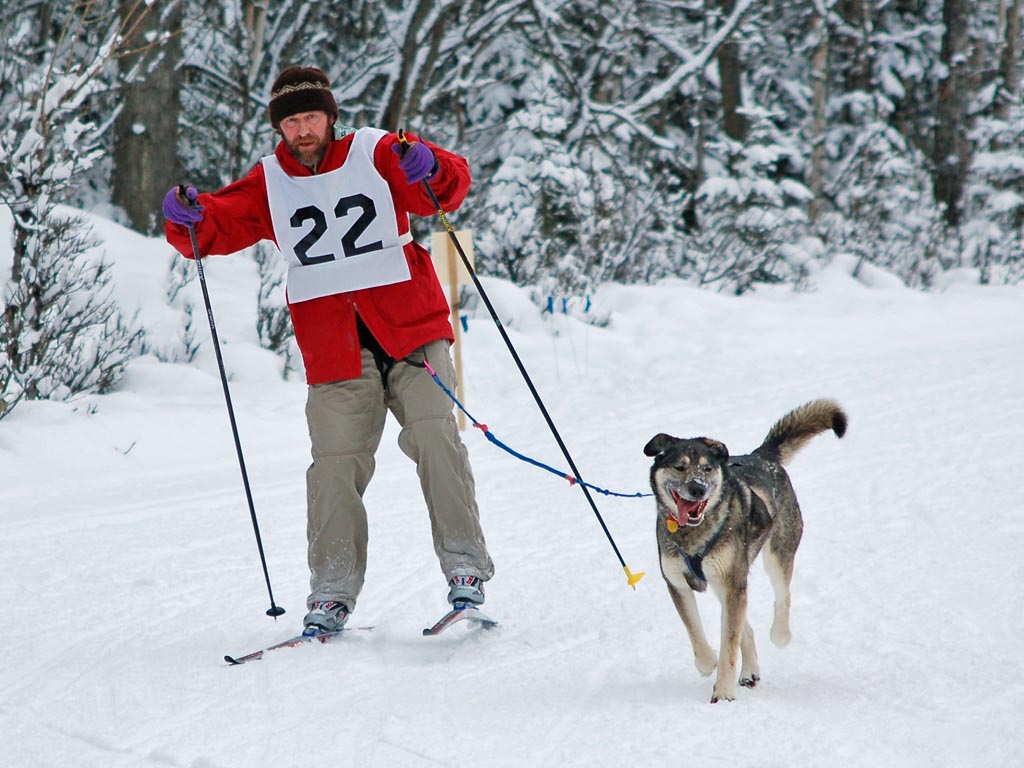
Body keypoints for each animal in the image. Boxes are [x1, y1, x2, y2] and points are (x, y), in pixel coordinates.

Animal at [638, 399, 847, 708]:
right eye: (679, 467)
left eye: (707, 469)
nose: (698, 489)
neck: (693, 533)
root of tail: (760, 457)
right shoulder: (678, 583)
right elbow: (696, 632)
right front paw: (707, 662)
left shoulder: (732, 582)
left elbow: (729, 646)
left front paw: (723, 692)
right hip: (727, 582)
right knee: (744, 628)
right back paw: (749, 671)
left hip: (773, 556)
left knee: (782, 596)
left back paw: (780, 635)